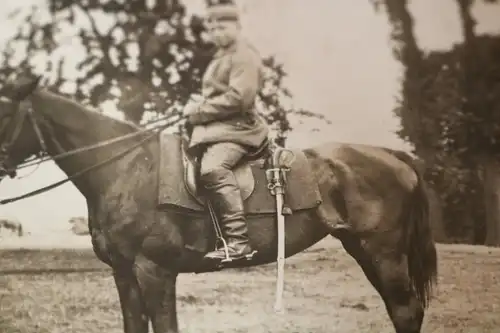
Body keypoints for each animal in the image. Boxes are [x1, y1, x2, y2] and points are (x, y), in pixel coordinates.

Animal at [0, 76, 438, 330]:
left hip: (384, 253)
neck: (126, 166)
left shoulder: (154, 272)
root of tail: (394, 156)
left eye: (3, 110)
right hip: (366, 251)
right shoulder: (124, 274)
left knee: (406, 311)